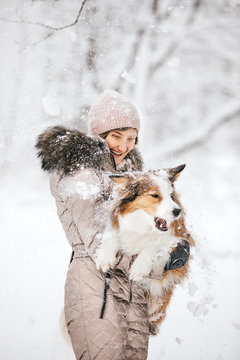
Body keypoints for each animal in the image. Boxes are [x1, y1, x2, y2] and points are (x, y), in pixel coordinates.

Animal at [94, 165, 194, 334]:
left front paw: (138, 269)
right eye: (155, 195)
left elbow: (155, 245)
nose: (177, 211)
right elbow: (112, 235)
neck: (142, 226)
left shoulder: (181, 239)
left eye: (171, 196)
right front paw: (105, 257)